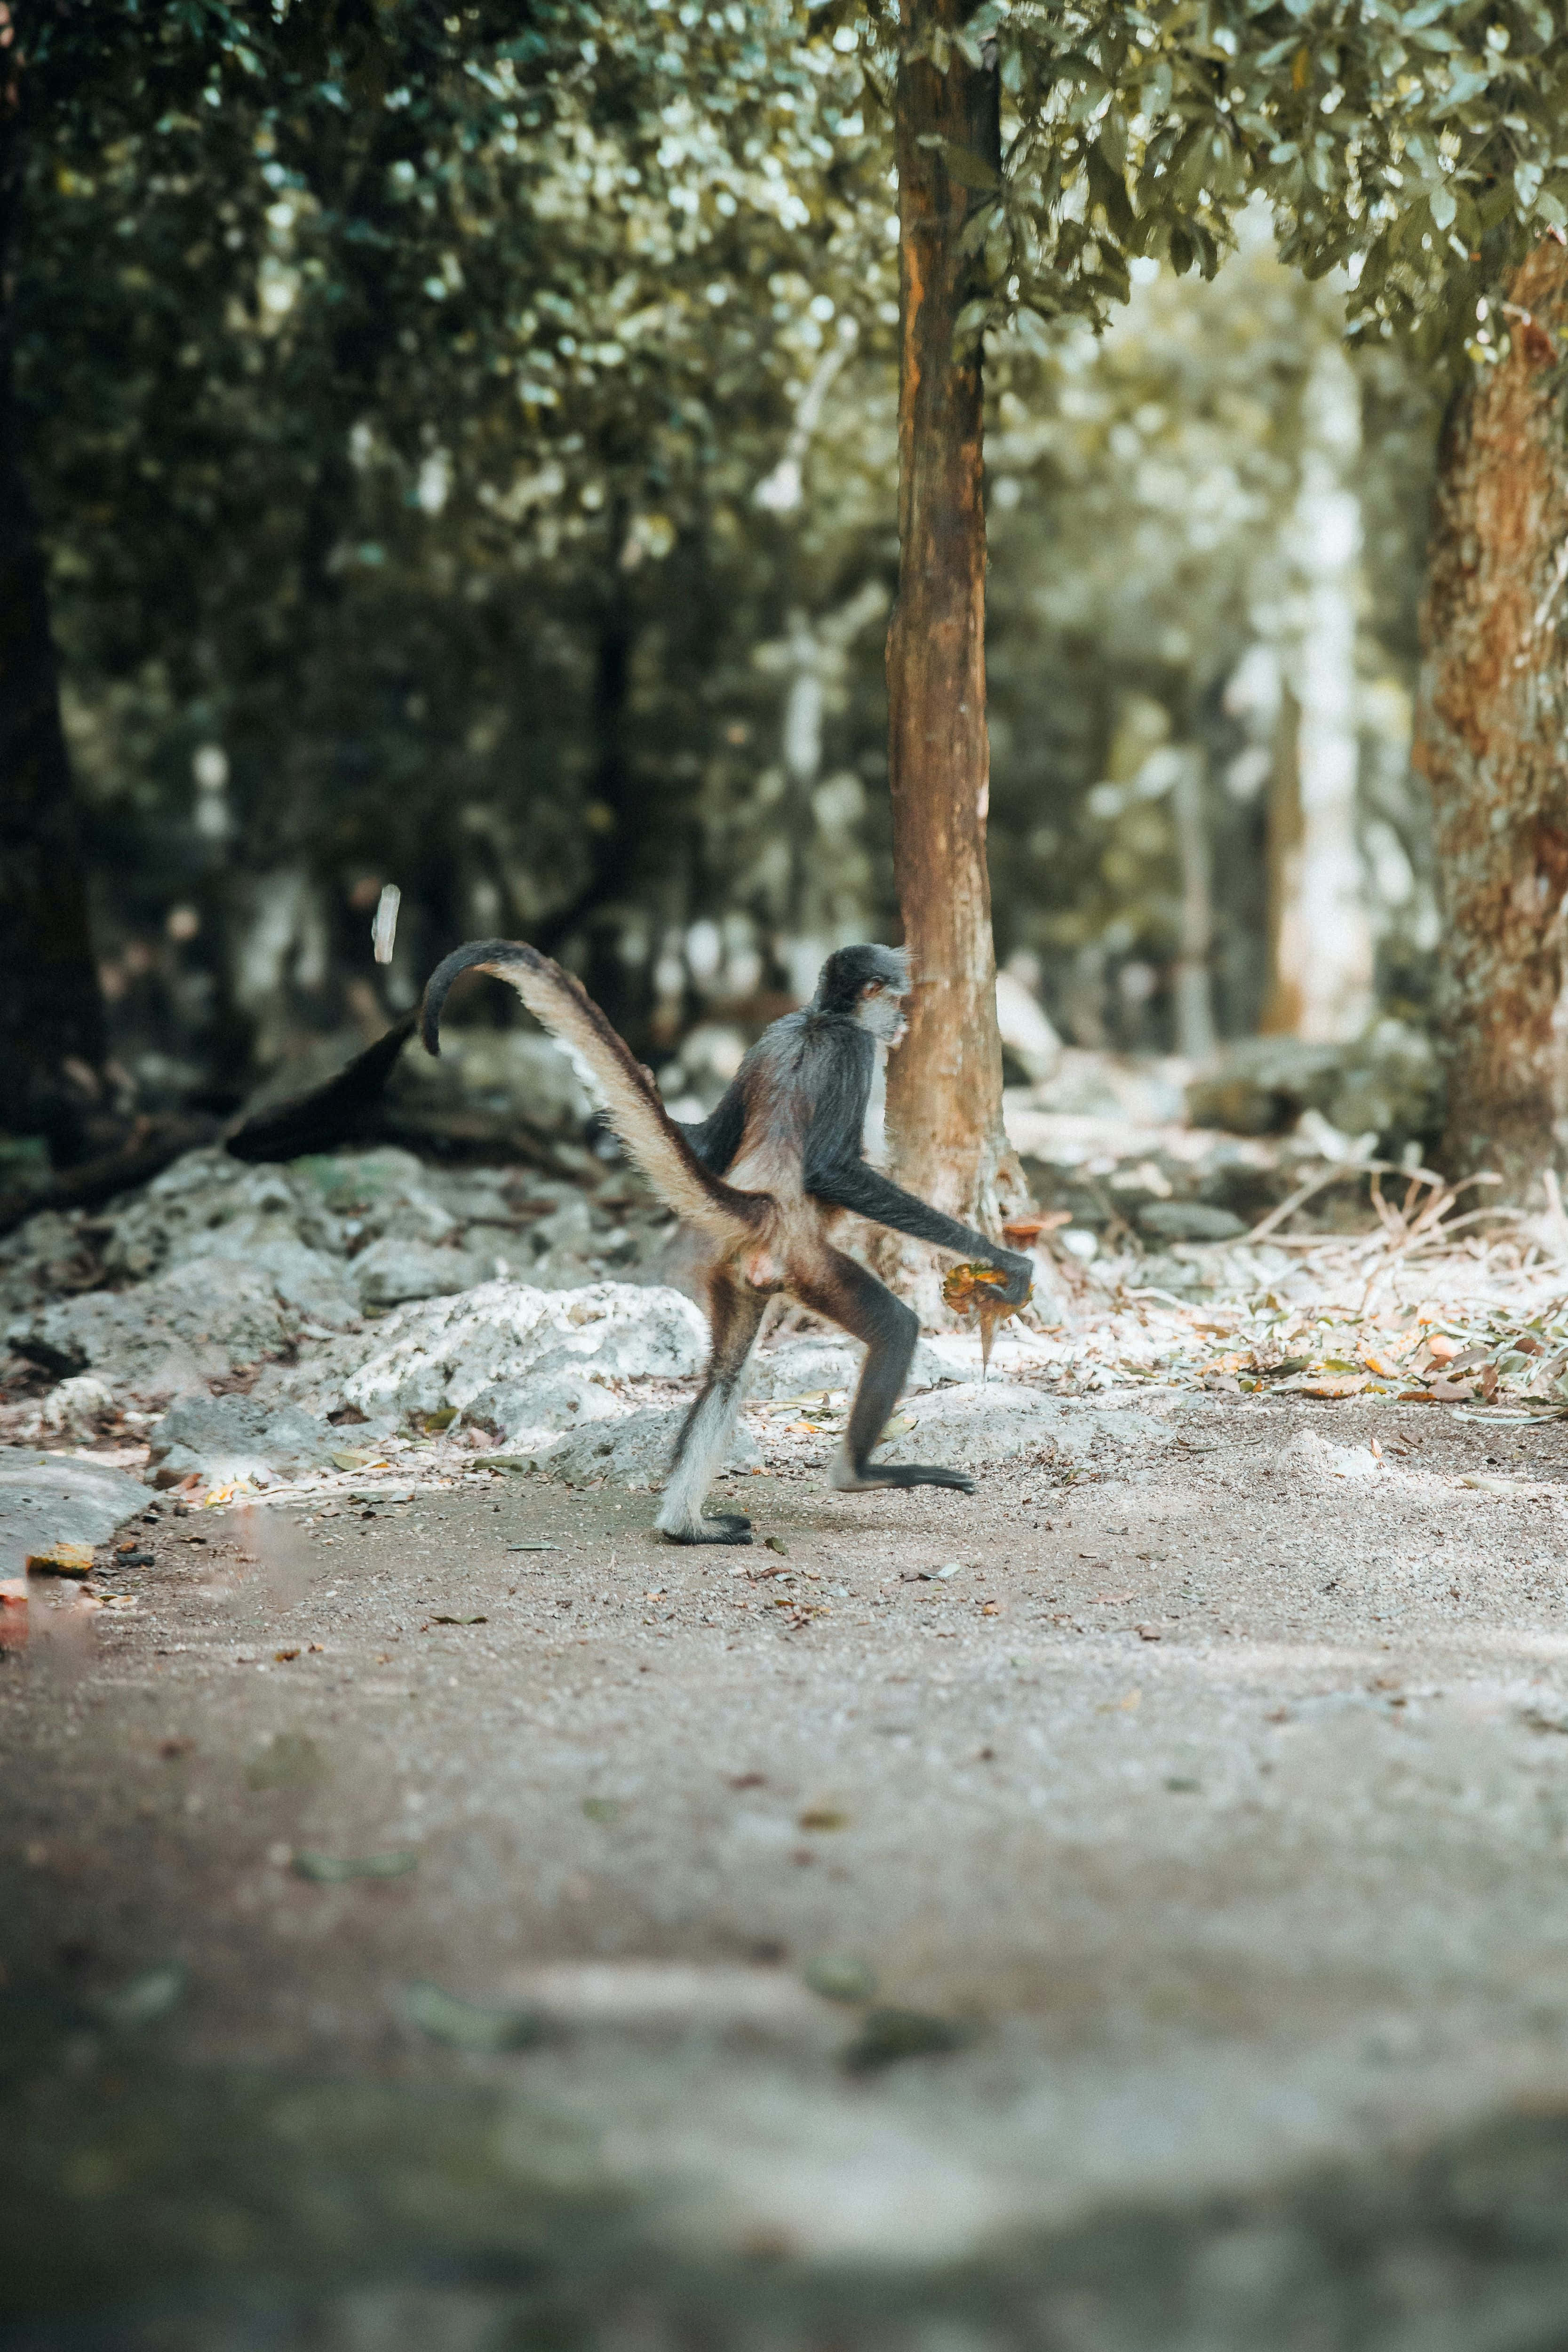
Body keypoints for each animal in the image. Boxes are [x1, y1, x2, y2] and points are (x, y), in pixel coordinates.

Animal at [421, 938, 1032, 1545]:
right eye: (897, 1001)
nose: (903, 1021)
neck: (819, 1018)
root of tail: (765, 1204)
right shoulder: (853, 1045)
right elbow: (830, 1171)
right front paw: (999, 1258)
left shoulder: (772, 1032)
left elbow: (714, 1141)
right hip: (807, 1261)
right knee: (894, 1326)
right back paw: (855, 1474)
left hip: (738, 1272)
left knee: (726, 1374)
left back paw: (685, 1527)